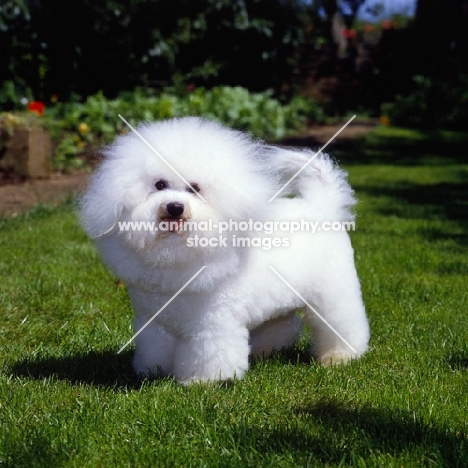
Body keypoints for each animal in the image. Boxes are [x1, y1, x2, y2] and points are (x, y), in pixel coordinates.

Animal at [78, 117, 368, 384]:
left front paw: (203, 381)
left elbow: (209, 354)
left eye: (194, 188)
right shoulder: (155, 322)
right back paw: (266, 350)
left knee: (342, 323)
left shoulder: (211, 323)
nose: (174, 207)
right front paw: (153, 372)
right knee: (283, 322)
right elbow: (155, 349)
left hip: (333, 292)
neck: (179, 251)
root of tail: (321, 206)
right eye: (160, 185)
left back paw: (339, 356)